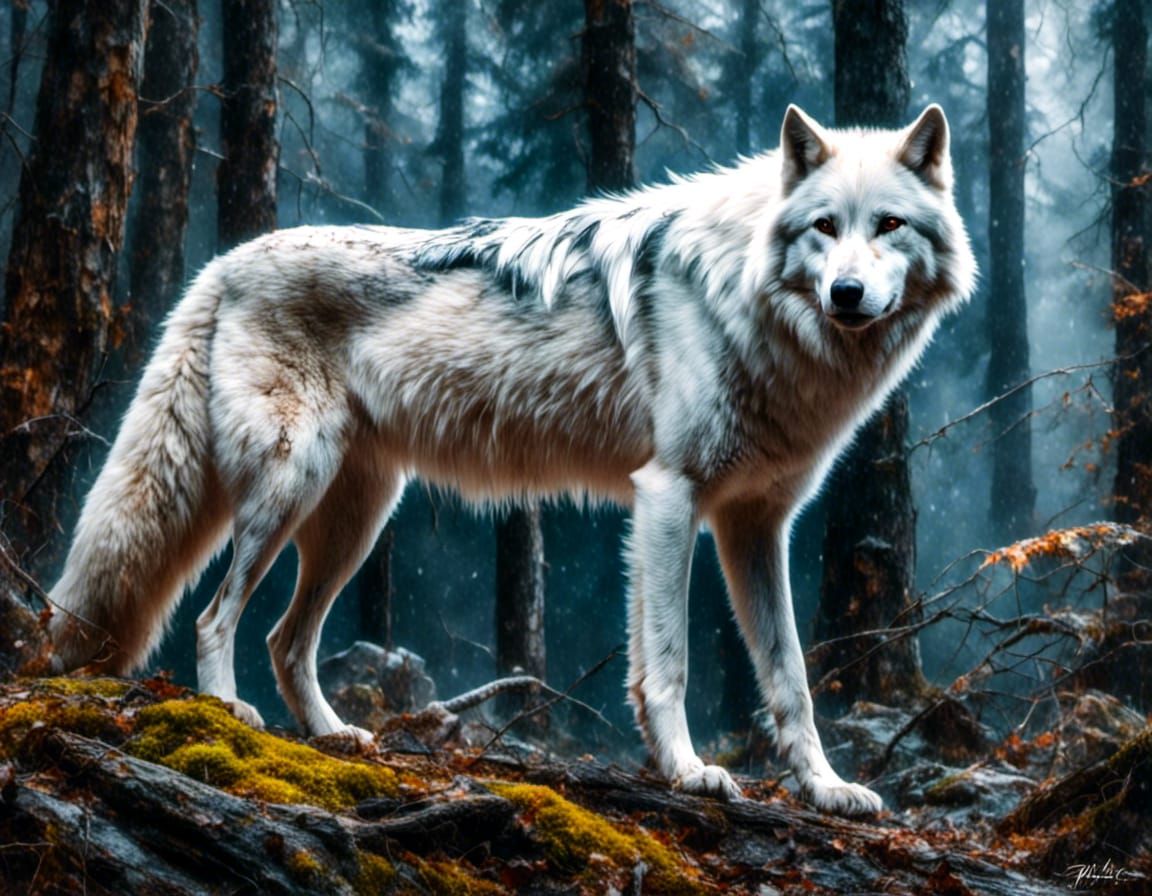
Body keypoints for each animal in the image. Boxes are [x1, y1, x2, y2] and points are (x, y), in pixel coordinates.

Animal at [49, 104, 974, 816]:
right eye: (824, 229)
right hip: (288, 487)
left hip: (353, 523)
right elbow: (668, 662)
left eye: (888, 226)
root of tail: (223, 262)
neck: (746, 295)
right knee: (215, 617)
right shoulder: (668, 497)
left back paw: (333, 737)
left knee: (285, 638)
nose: (847, 294)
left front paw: (826, 788)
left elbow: (790, 679)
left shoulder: (756, 526)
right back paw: (225, 714)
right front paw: (687, 771)